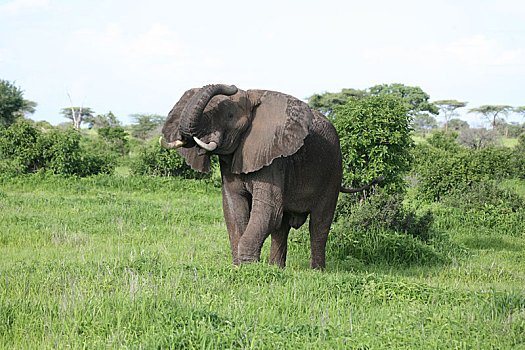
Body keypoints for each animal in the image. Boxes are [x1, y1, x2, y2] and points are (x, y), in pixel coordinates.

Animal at [160, 84, 362, 268]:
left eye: (230, 116)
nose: (232, 86)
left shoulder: (273, 158)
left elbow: (269, 211)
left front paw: (249, 267)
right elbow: (234, 209)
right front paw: (240, 268)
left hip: (333, 172)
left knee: (319, 223)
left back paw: (316, 271)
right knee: (282, 226)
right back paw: (277, 268)